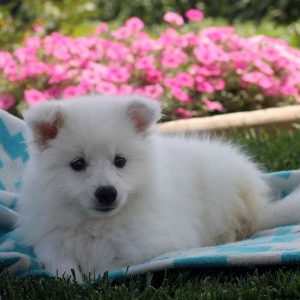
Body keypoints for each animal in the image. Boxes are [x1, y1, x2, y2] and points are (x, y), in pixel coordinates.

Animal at [17, 95, 300, 280]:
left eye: (120, 161)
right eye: (78, 164)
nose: (107, 193)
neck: (98, 224)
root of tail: (259, 208)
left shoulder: (151, 244)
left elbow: (111, 263)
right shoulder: (50, 237)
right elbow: (60, 262)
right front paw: (73, 277)